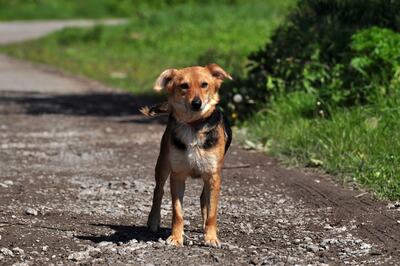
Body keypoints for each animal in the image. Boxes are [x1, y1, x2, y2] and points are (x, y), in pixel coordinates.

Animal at [143, 64, 231, 247]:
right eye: (184, 86)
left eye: (205, 84)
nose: (197, 103)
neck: (193, 125)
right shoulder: (177, 175)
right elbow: (178, 212)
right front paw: (176, 237)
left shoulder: (213, 176)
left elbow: (212, 211)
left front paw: (211, 237)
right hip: (162, 164)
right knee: (158, 191)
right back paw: (153, 220)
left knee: (204, 198)